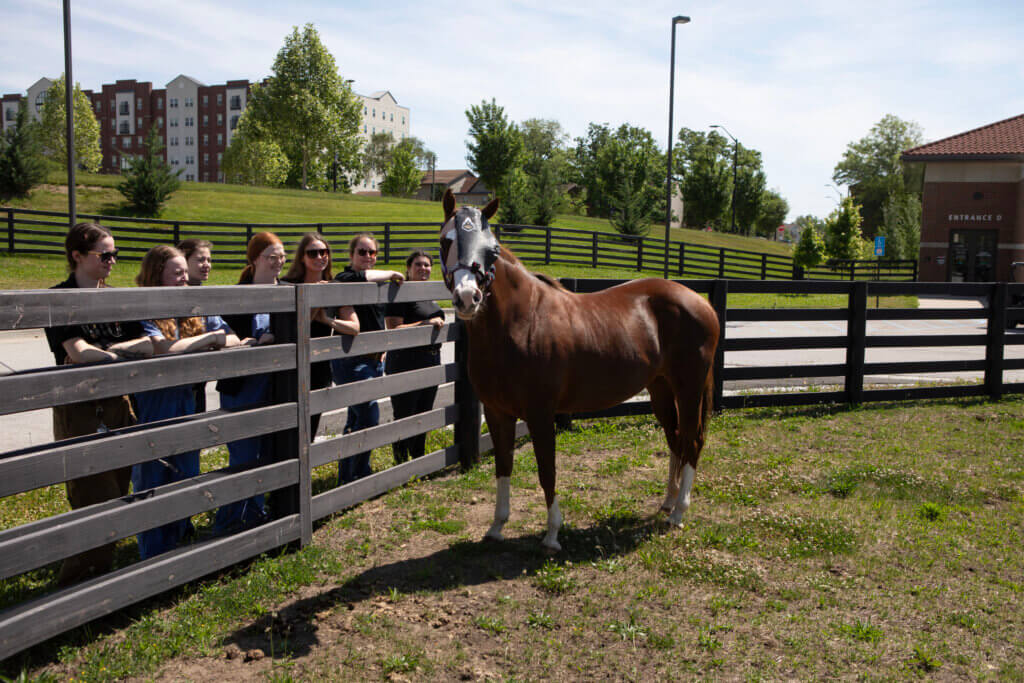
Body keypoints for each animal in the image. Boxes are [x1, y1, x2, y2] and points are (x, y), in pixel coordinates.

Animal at [439, 189, 719, 552]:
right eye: (446, 241)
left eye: (492, 249)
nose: (467, 298)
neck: (520, 321)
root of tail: (701, 302)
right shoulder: (498, 413)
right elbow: (503, 467)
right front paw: (497, 526)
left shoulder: (541, 414)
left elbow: (547, 471)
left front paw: (552, 535)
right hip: (661, 388)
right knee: (675, 439)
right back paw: (669, 503)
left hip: (689, 389)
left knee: (692, 439)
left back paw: (679, 513)